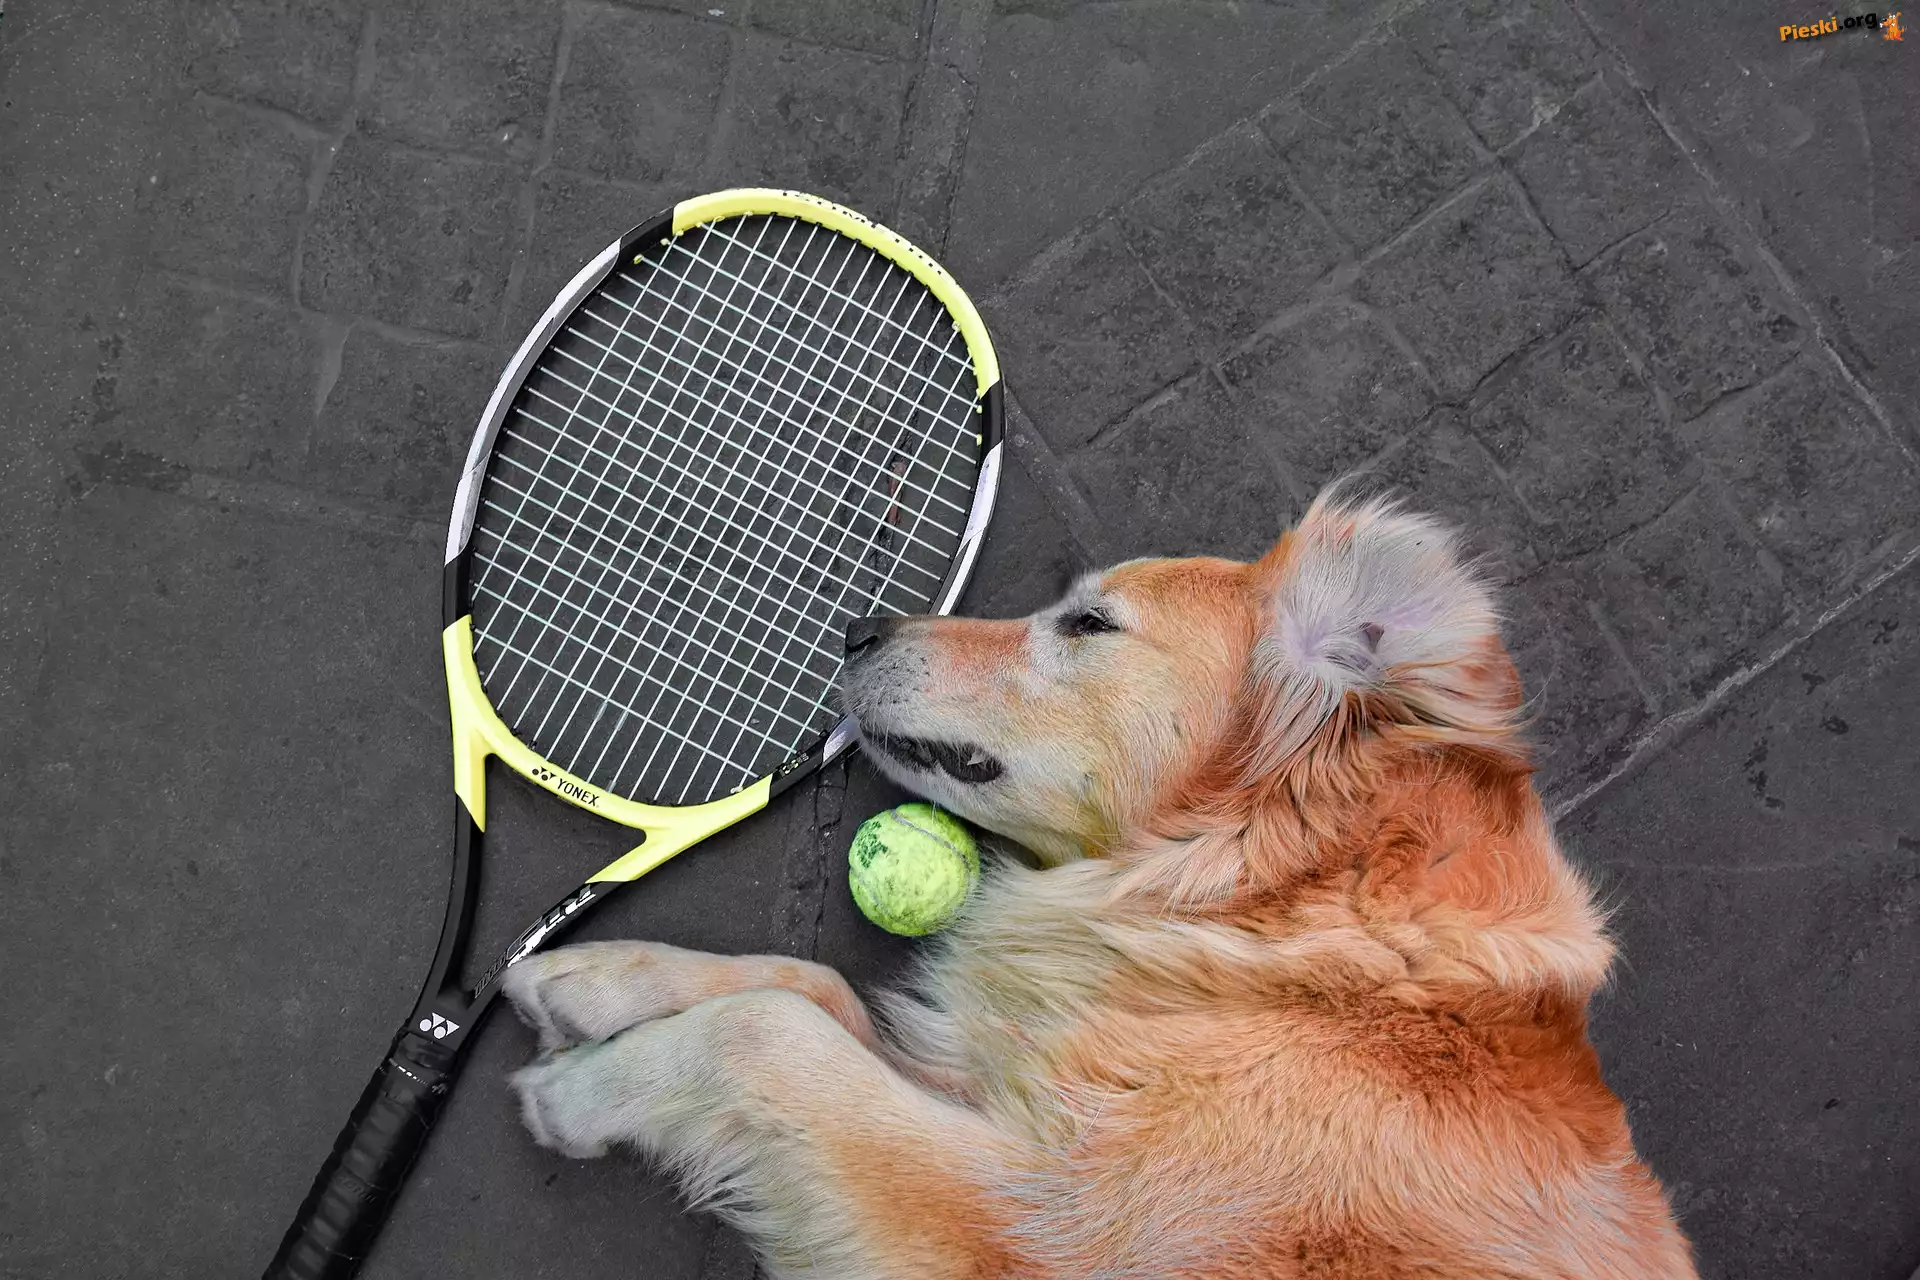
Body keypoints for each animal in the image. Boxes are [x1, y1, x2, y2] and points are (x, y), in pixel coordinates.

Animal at [503, 489, 1697, 1279]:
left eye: (1086, 623)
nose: (859, 626)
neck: (1271, 907)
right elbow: (809, 988)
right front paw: (604, 985)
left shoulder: (1037, 1223)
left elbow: (768, 1035)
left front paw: (592, 1089)